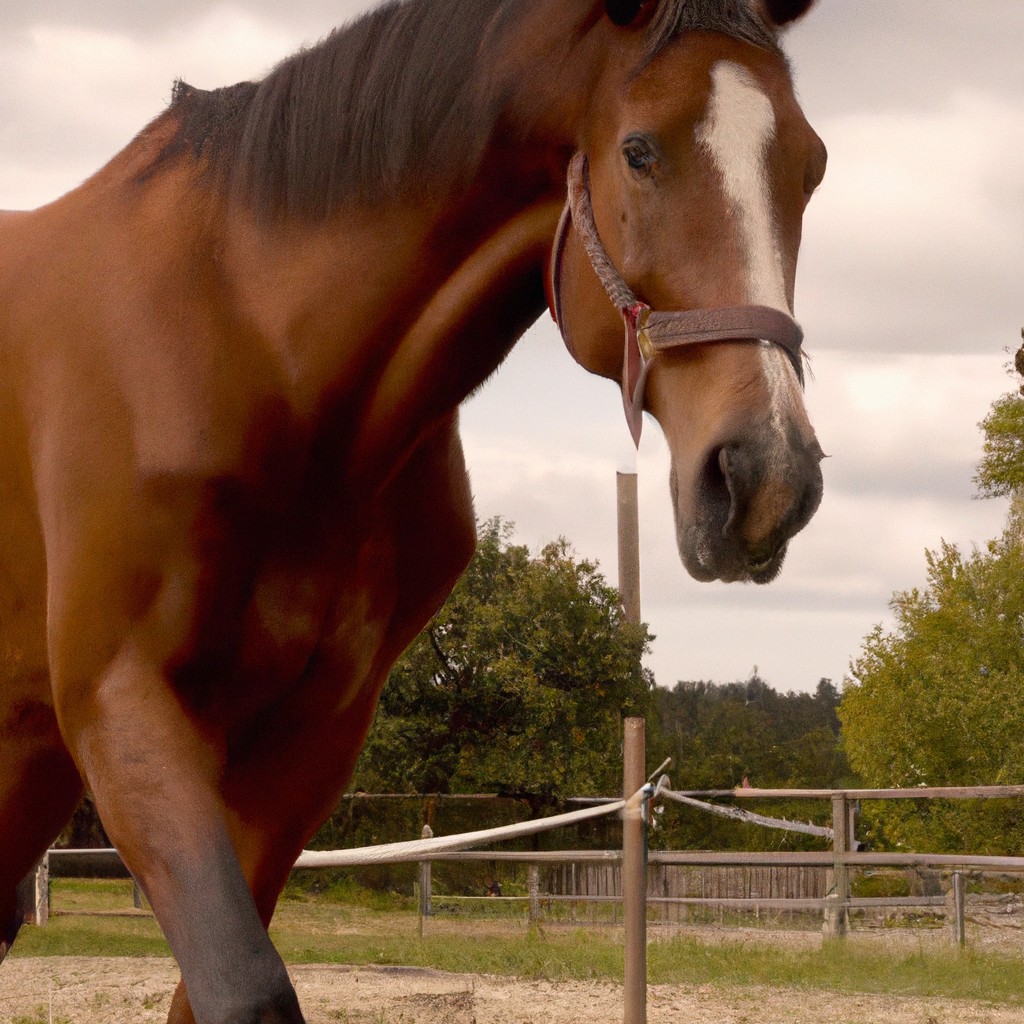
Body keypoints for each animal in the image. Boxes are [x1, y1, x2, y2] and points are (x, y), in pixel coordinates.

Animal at [0, 0, 823, 1019]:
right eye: (639, 151)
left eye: (811, 164)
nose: (767, 476)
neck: (253, 344)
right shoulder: (121, 702)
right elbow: (243, 983)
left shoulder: (311, 741)